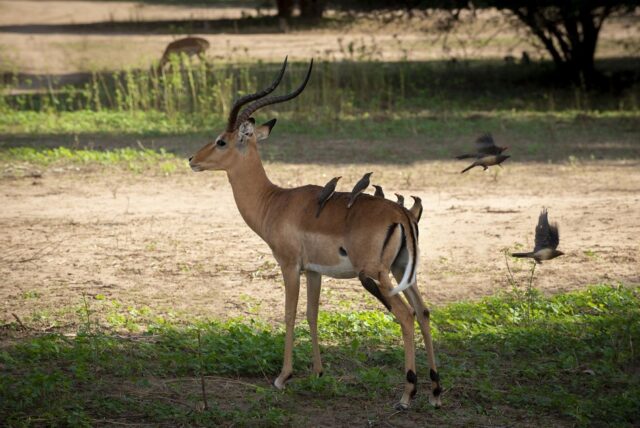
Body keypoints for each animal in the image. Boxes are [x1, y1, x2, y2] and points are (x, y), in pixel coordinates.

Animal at [188, 58, 442, 410]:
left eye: (221, 141)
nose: (192, 159)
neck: (274, 201)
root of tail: (404, 214)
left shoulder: (289, 266)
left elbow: (289, 314)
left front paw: (282, 377)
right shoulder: (314, 272)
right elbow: (312, 314)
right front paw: (318, 373)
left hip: (377, 274)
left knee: (406, 315)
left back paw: (407, 394)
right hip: (404, 270)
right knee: (424, 311)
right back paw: (435, 392)